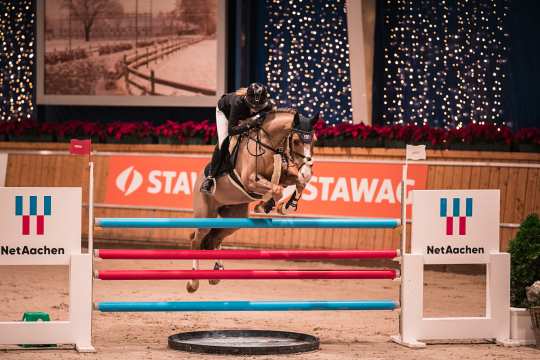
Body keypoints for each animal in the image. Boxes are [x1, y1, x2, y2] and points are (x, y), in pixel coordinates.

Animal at [188, 109, 318, 292]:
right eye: (296, 141)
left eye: (314, 141)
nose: (307, 170)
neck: (269, 144)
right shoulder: (250, 181)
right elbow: (276, 189)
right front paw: (265, 205)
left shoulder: (285, 175)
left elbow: (297, 182)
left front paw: (286, 207)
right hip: (205, 215)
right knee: (196, 240)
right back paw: (193, 282)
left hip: (234, 219)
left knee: (214, 239)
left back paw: (216, 273)